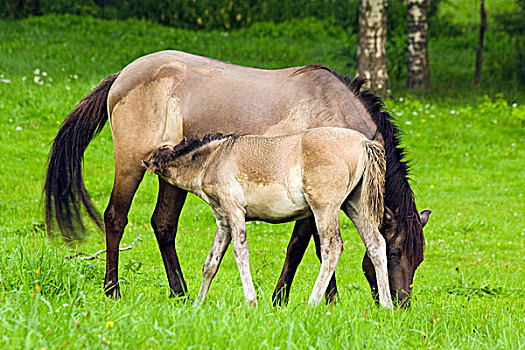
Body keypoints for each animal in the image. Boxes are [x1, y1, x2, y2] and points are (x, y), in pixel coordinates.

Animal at [141, 127, 390, 308]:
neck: (214, 160)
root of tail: (363, 142)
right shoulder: (223, 222)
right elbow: (211, 263)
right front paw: (197, 305)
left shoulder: (235, 213)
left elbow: (241, 254)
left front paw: (251, 301)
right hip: (355, 207)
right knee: (376, 245)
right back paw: (387, 306)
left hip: (325, 209)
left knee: (333, 247)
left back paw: (312, 303)